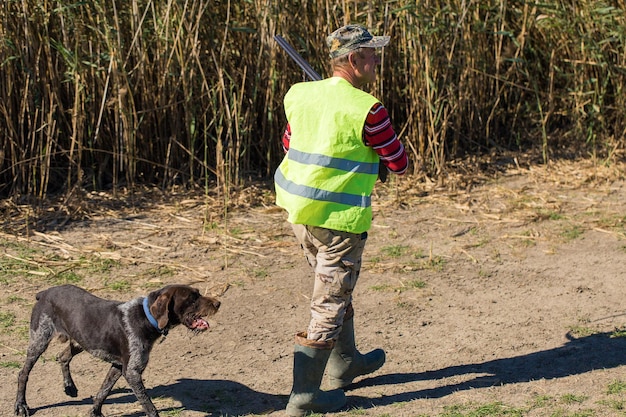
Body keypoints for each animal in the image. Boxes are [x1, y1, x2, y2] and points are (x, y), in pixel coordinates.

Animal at [13, 282, 221, 416]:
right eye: (192, 298)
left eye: (198, 293)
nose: (218, 303)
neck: (145, 318)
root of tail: (44, 292)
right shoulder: (132, 372)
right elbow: (149, 406)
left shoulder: (118, 366)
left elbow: (103, 391)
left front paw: (95, 412)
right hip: (39, 340)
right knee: (23, 373)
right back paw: (21, 405)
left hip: (80, 341)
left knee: (62, 356)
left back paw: (69, 387)